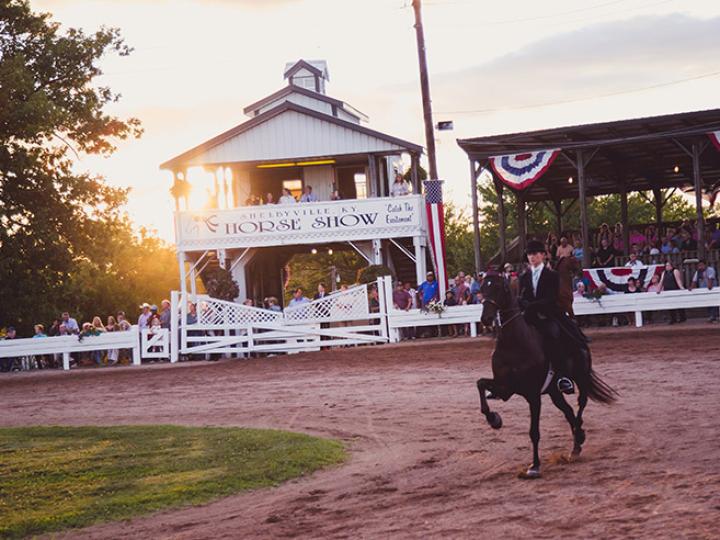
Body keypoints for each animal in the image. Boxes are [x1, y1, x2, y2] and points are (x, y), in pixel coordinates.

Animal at [476, 271, 617, 478]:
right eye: (482, 287)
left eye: (499, 287)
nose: (486, 319)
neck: (513, 344)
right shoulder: (504, 387)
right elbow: (480, 384)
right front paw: (494, 419)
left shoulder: (533, 395)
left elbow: (534, 432)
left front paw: (534, 466)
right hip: (554, 391)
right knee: (568, 411)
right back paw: (576, 445)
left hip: (581, 378)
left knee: (580, 405)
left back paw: (578, 436)